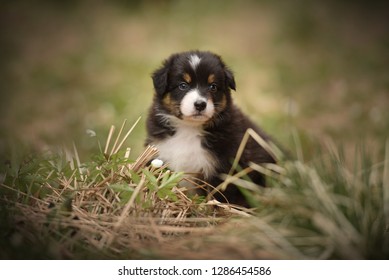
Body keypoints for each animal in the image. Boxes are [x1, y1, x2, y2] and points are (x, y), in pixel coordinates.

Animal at [146, 50, 276, 206]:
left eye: (213, 86)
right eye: (183, 85)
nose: (200, 104)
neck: (189, 128)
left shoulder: (221, 168)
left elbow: (219, 196)